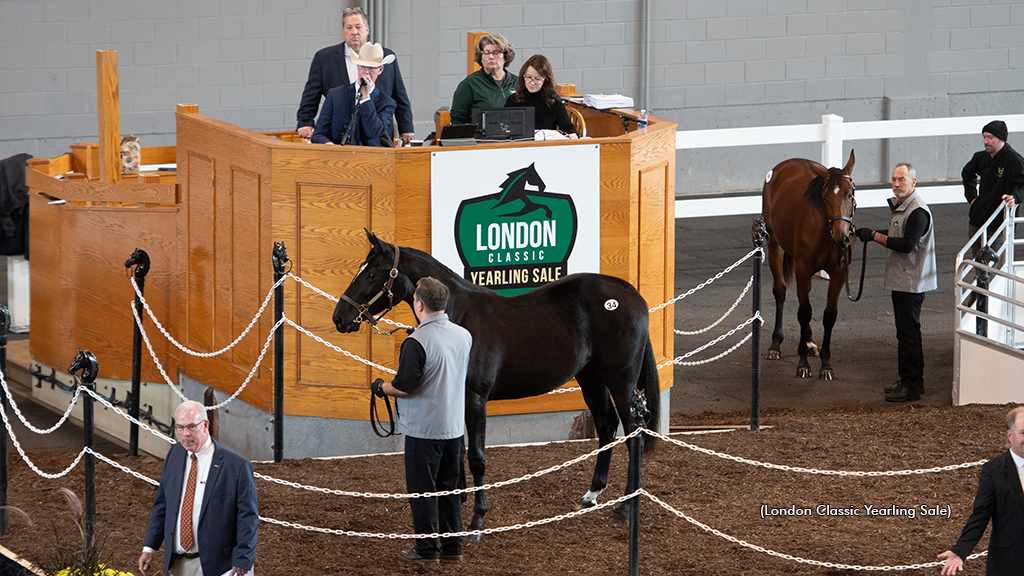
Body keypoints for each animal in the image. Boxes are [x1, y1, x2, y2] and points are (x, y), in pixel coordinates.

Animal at [331, 228, 659, 528]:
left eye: (371, 274)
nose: (339, 317)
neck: (457, 318)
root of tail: (631, 294)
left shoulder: (475, 397)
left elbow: (476, 456)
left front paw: (478, 515)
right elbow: (456, 450)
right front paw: (456, 499)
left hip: (621, 380)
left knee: (634, 433)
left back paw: (626, 508)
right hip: (591, 377)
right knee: (607, 426)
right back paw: (591, 495)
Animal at [761, 150, 856, 379]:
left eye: (850, 194)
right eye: (825, 197)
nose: (841, 238)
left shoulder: (839, 274)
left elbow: (828, 315)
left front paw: (826, 365)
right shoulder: (803, 269)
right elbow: (804, 313)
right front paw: (802, 364)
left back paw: (810, 342)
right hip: (775, 246)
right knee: (780, 292)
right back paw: (775, 345)